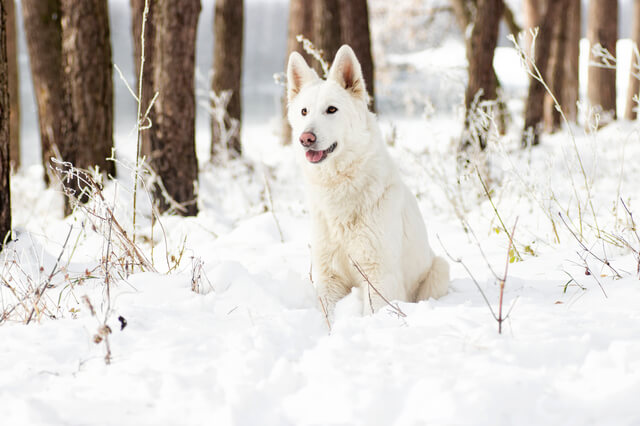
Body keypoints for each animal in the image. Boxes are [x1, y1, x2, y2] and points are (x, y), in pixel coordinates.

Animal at [288, 45, 448, 316]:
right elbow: (327, 316)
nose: (305, 138)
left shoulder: (379, 275)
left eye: (331, 110)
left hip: (440, 269)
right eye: (304, 112)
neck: (341, 188)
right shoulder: (329, 277)